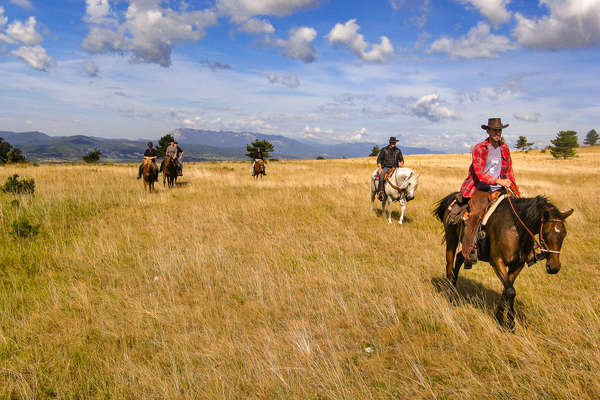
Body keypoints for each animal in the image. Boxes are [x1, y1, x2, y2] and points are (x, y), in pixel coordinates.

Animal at [434, 192, 576, 330]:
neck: (515, 228)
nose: (554, 267)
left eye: (564, 234)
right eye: (545, 233)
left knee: (459, 258)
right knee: (449, 265)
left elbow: (507, 290)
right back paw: (450, 295)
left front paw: (499, 317)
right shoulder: (497, 261)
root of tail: (452, 197)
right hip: (451, 239)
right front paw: (510, 323)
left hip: (467, 248)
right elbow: (511, 291)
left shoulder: (517, 265)